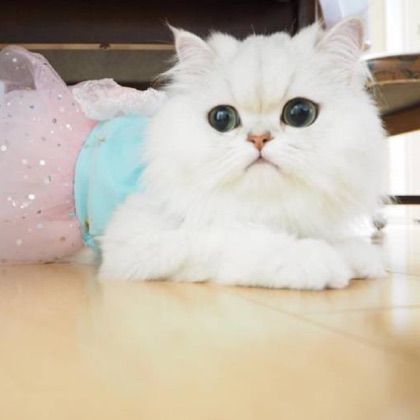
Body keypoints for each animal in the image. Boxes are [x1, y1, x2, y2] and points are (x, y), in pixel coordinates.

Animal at [99, 18, 387, 290]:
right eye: (222, 118)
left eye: (300, 113)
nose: (259, 138)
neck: (261, 206)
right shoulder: (136, 241)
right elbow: (240, 237)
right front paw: (316, 260)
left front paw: (357, 256)